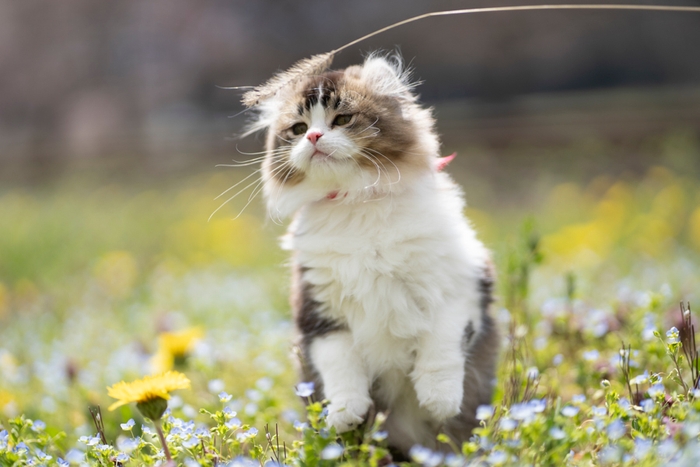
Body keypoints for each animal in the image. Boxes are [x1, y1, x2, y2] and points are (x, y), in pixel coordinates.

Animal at [243, 54, 494, 458]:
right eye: (298, 128)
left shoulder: (463, 285)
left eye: (342, 119)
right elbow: (340, 366)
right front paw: (345, 412)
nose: (314, 137)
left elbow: (442, 345)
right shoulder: (318, 310)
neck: (356, 201)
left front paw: (439, 399)